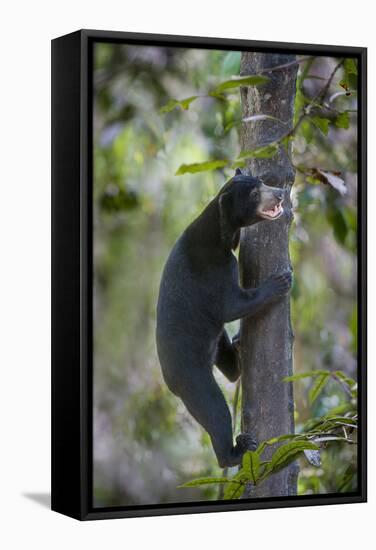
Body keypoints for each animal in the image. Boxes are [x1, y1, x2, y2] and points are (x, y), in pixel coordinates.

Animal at [156, 169, 290, 470]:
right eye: (254, 194)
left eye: (262, 182)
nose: (280, 194)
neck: (217, 232)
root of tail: (169, 381)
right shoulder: (214, 269)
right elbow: (232, 305)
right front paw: (281, 281)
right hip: (193, 377)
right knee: (215, 412)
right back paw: (237, 450)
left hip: (213, 344)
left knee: (226, 358)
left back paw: (238, 347)